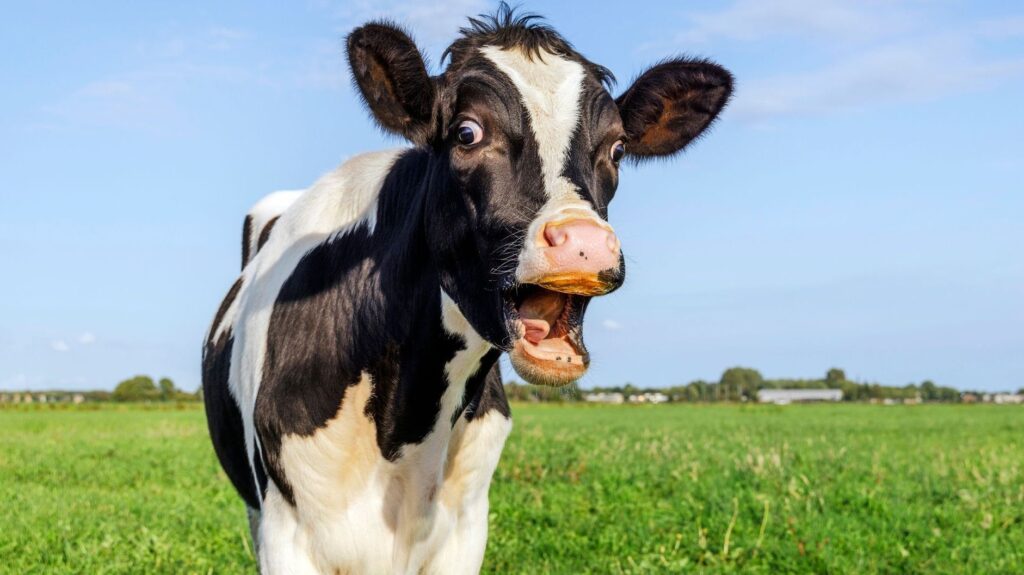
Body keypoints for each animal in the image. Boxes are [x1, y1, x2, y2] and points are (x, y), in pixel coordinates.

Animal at [202, 5, 732, 574]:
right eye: (467, 133)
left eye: (616, 148)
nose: (585, 243)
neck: (405, 433)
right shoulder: (287, 533)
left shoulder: (465, 530)